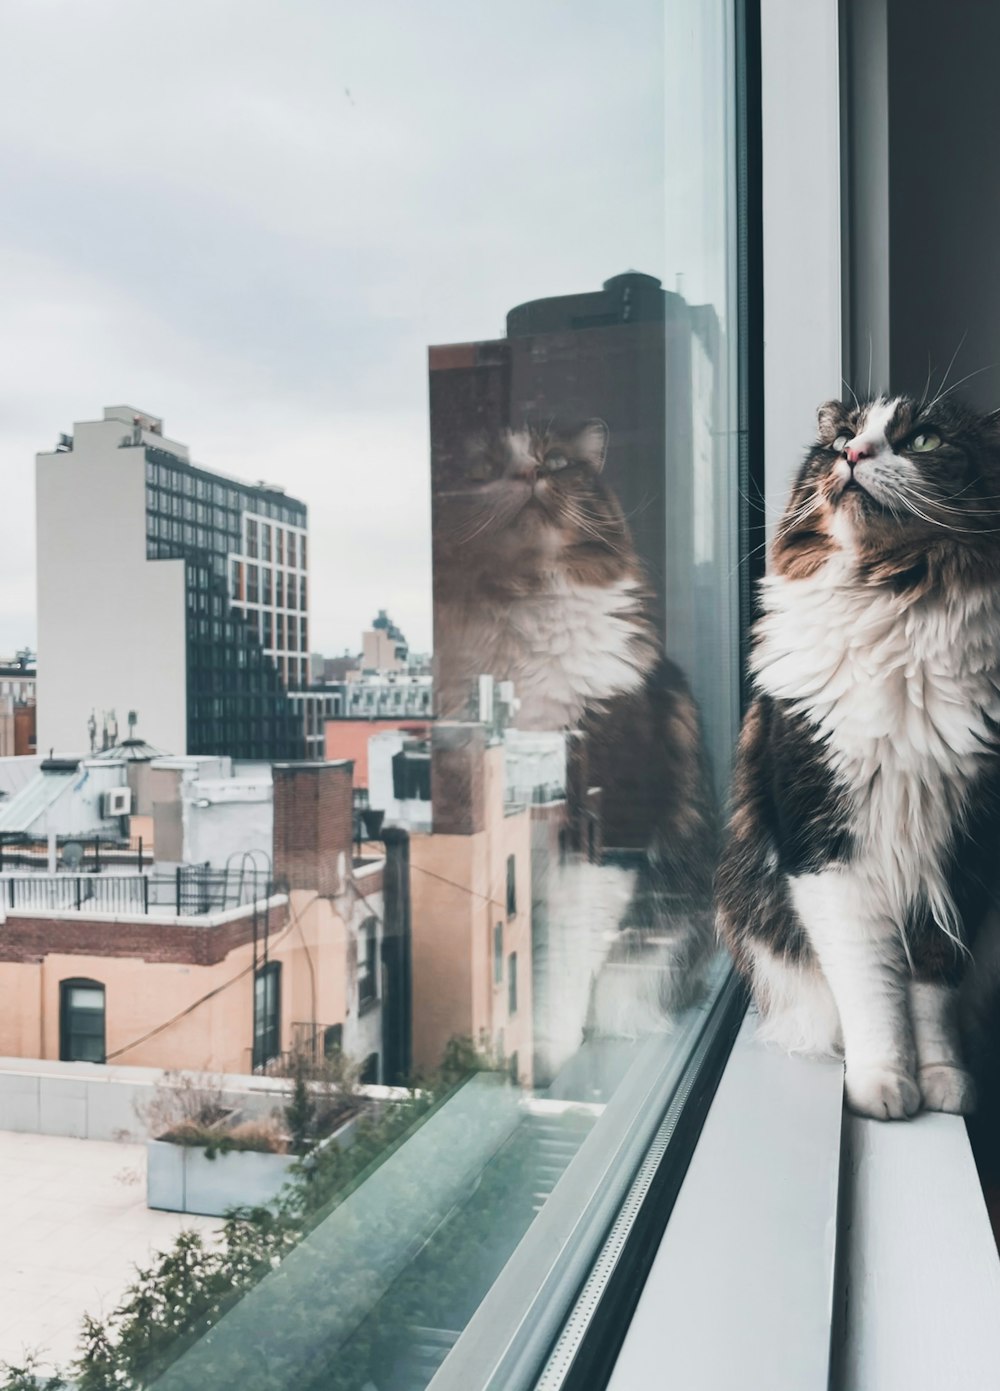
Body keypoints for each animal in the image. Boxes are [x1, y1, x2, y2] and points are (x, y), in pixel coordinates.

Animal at [433, 417, 717, 1018]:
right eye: (485, 468)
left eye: (558, 463)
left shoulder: (605, 824)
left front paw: (542, 1042)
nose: (528, 472)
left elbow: (559, 964)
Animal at [717, 389, 1000, 1118]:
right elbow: (873, 985)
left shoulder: (962, 853)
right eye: (841, 436)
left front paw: (941, 1079)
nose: (851, 453)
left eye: (924, 439)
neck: (894, 605)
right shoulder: (827, 848)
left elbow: (931, 988)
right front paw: (883, 1082)